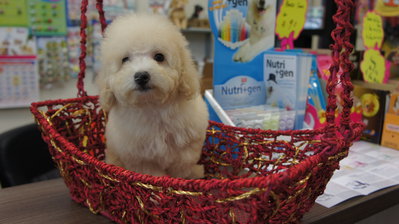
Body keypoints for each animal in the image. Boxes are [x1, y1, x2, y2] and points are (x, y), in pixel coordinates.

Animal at [97, 13, 209, 178]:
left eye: (159, 57)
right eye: (125, 59)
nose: (141, 76)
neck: (153, 106)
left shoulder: (185, 152)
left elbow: (181, 171)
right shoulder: (143, 159)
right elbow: (154, 174)